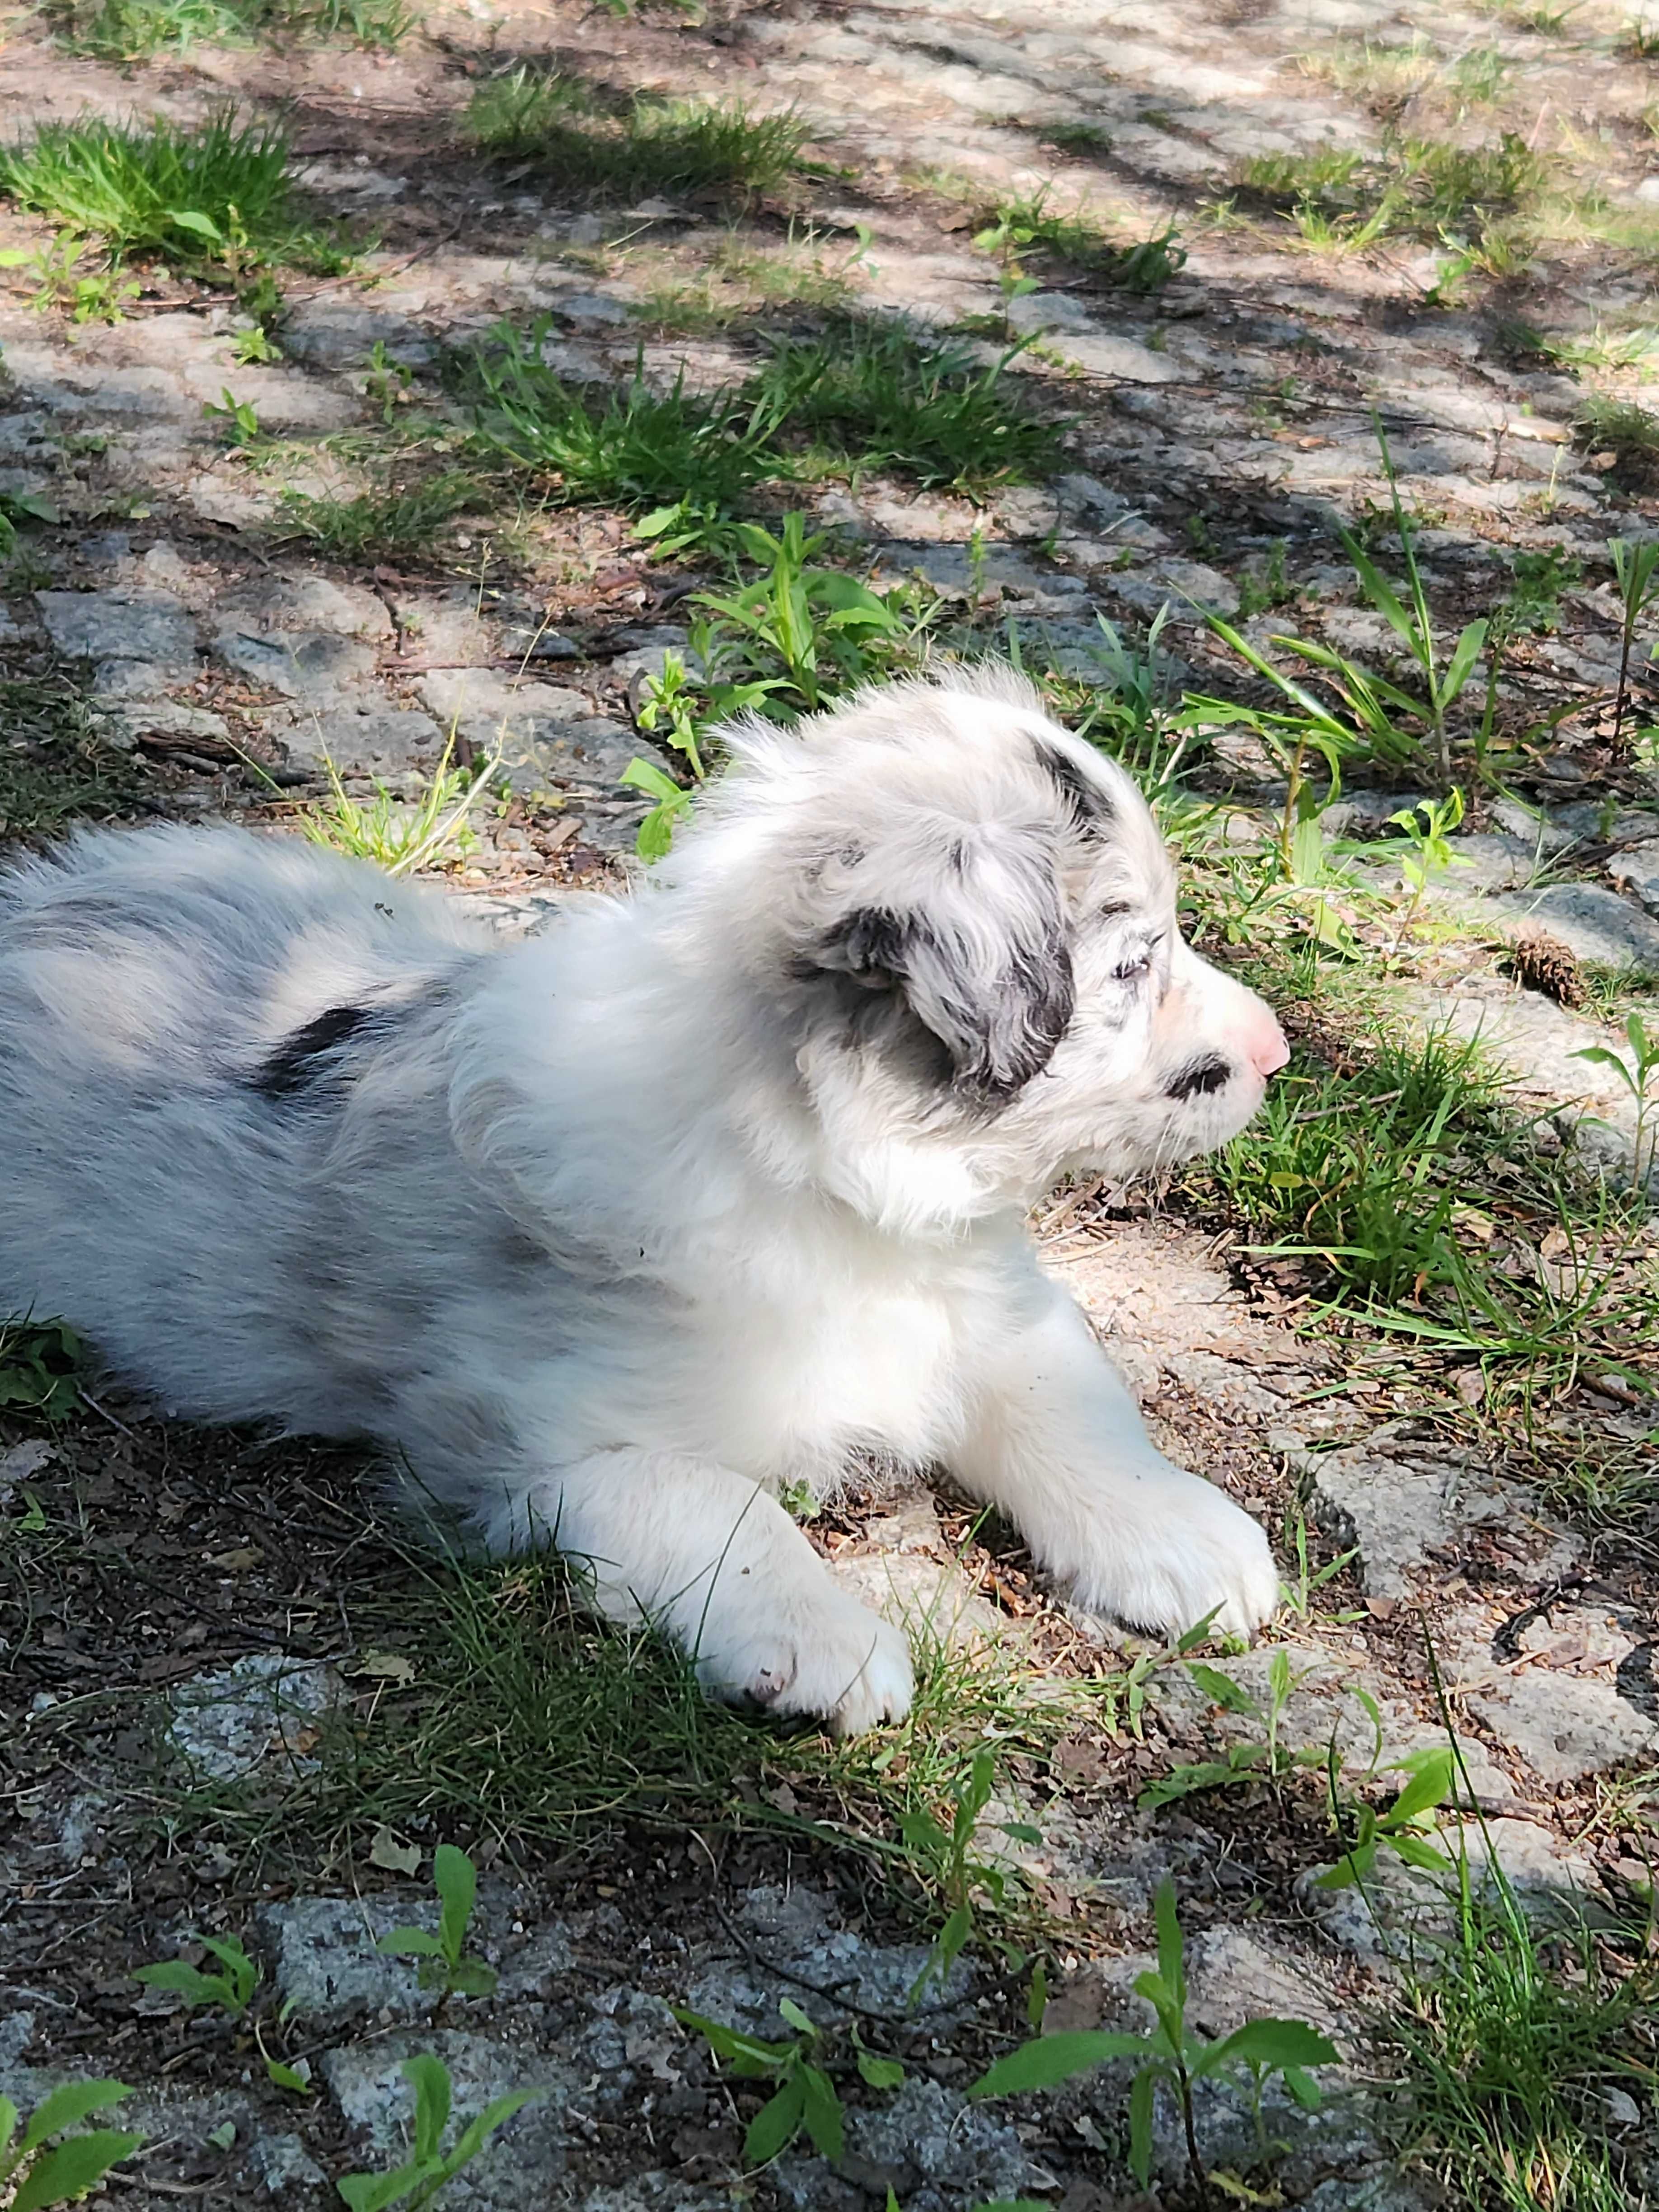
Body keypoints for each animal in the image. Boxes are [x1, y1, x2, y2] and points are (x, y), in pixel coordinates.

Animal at [0, 663, 1283, 1734]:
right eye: (1131, 966)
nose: (1275, 1051)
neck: (825, 1175)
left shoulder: (988, 1302)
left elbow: (1073, 1400)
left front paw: (1180, 1530)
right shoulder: (529, 1432)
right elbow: (709, 1497)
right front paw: (817, 1635)